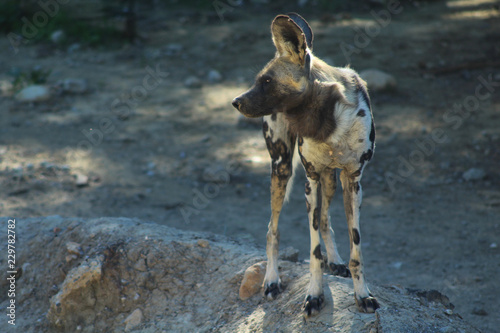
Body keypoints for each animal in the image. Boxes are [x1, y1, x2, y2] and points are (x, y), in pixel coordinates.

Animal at [232, 13, 380, 316]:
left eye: (267, 80)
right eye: (259, 80)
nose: (235, 101)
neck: (328, 122)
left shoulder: (353, 181)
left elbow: (356, 250)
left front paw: (362, 294)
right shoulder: (310, 182)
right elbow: (313, 253)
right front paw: (314, 295)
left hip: (331, 180)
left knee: (324, 220)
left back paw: (335, 261)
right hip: (282, 169)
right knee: (272, 229)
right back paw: (272, 280)